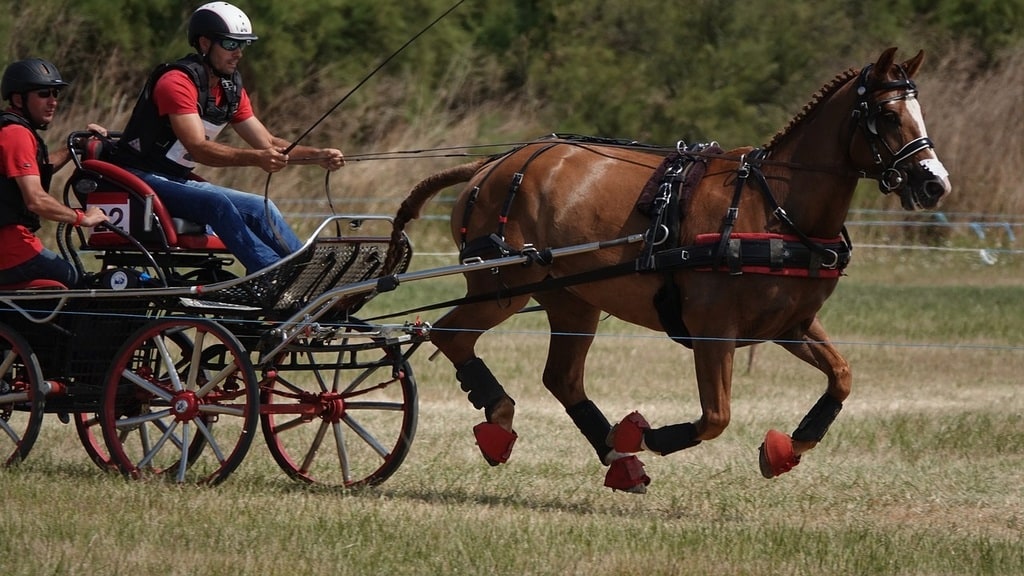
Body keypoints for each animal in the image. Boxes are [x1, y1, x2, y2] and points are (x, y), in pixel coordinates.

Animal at [385, 47, 950, 491]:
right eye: (887, 114)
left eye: (920, 112)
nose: (934, 184)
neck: (773, 206)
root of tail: (492, 164)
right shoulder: (713, 331)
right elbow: (717, 416)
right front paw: (646, 434)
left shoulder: (790, 325)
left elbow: (842, 376)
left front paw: (789, 447)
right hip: (504, 284)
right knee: (452, 336)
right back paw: (503, 420)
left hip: (571, 299)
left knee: (560, 377)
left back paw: (616, 458)